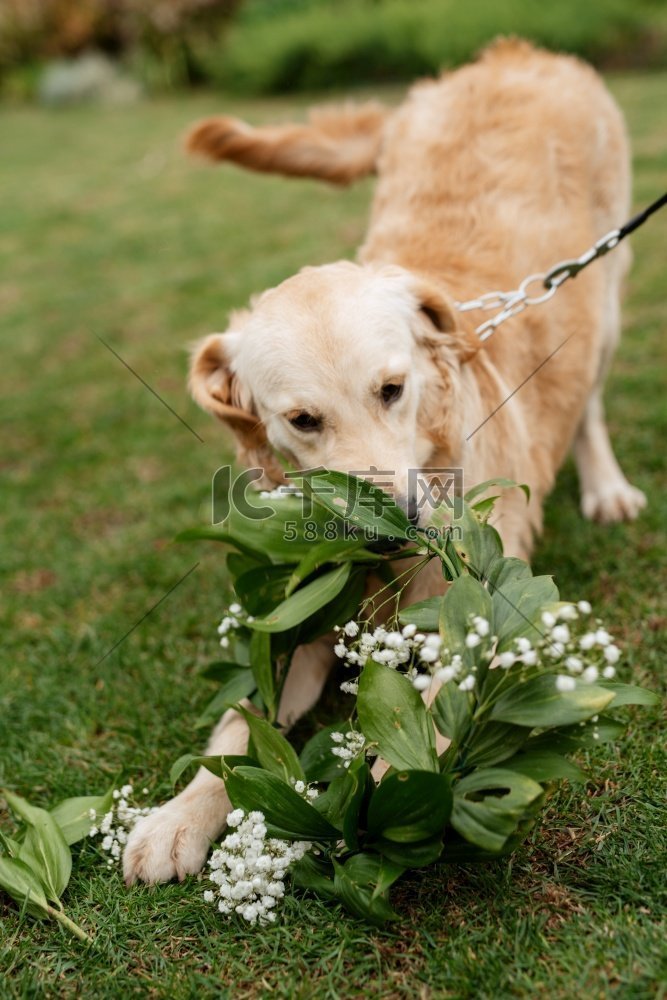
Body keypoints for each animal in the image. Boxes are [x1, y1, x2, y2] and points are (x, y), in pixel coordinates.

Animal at [122, 37, 644, 884]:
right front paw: (181, 815)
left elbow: (415, 747)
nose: (387, 530)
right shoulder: (297, 628)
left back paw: (605, 485)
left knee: (589, 400)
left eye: (392, 389)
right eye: (303, 420)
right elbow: (241, 720)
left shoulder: (474, 629)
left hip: (602, 291)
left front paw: (371, 812)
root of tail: (512, 51)